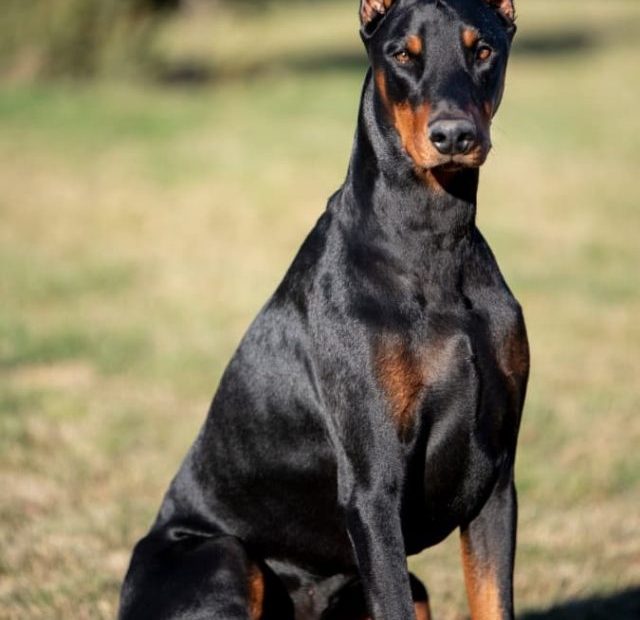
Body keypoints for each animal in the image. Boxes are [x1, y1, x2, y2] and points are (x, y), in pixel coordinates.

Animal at [120, 0, 528, 616]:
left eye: (482, 49)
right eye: (401, 53)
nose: (454, 135)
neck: (433, 240)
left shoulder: (497, 482)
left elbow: (492, 597)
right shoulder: (374, 488)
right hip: (223, 557)